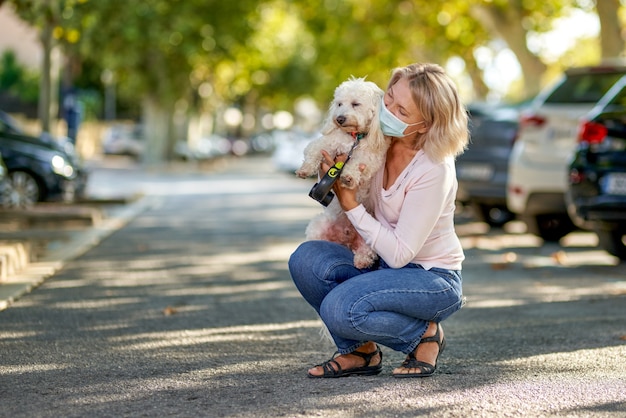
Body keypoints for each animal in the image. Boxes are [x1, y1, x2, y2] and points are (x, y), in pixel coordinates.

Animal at [294, 76, 388, 268]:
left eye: (356, 104)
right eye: (339, 104)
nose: (339, 119)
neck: (353, 138)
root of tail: (347, 239)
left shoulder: (370, 159)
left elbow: (357, 163)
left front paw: (349, 176)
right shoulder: (326, 144)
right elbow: (314, 150)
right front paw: (305, 169)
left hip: (371, 239)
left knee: (367, 251)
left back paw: (361, 260)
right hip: (319, 226)